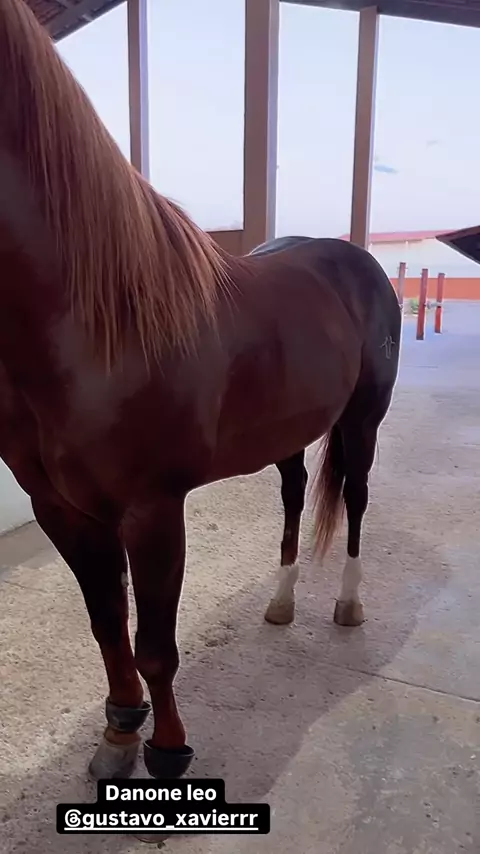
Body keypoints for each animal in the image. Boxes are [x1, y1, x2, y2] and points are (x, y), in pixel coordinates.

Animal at [0, 0, 401, 781]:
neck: (96, 322)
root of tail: (355, 259)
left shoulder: (152, 511)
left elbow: (155, 646)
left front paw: (167, 751)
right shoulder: (61, 508)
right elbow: (106, 624)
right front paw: (119, 733)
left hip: (362, 423)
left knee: (358, 500)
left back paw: (347, 605)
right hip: (287, 433)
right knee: (294, 495)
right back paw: (281, 603)